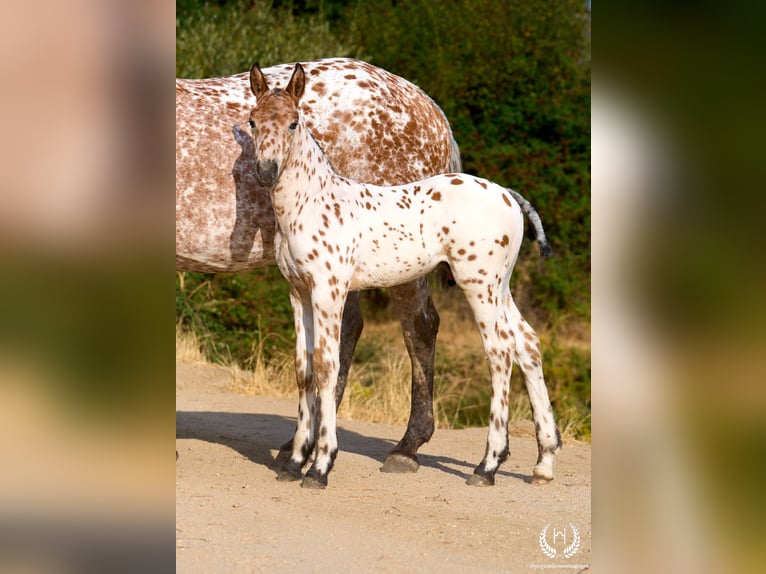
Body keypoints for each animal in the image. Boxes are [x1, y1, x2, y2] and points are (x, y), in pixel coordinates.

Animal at [177, 58, 461, 472]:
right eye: (251, 122)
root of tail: (428, 108)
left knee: (419, 327)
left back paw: (405, 448)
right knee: (347, 335)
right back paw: (308, 444)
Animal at [248, 62, 561, 488]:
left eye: (294, 122)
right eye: (252, 121)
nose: (266, 171)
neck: (312, 202)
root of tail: (508, 195)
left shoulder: (330, 291)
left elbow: (328, 368)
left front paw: (320, 466)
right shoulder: (299, 293)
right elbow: (304, 370)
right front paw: (296, 460)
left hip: (478, 285)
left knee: (500, 352)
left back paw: (488, 465)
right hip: (500, 287)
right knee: (527, 342)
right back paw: (543, 462)